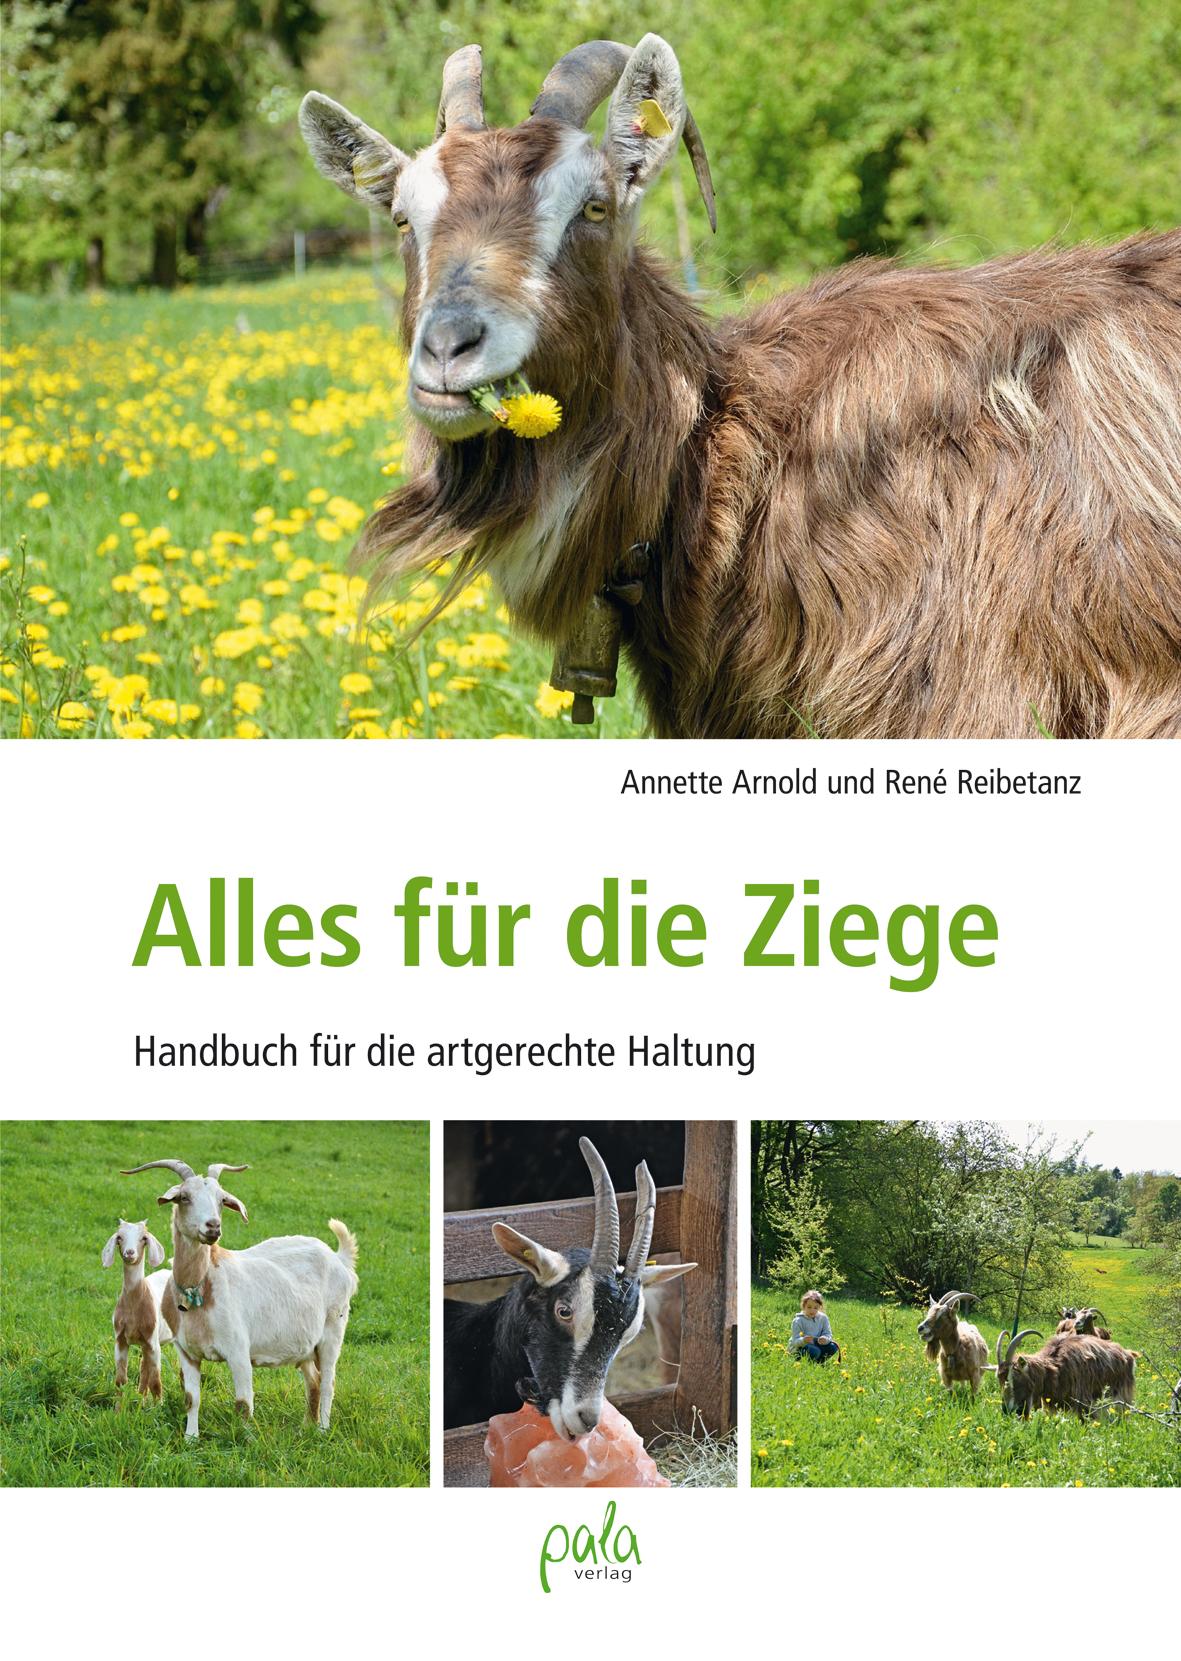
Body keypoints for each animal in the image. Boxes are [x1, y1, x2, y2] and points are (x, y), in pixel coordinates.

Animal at [102, 1218, 173, 1405]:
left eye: (144, 1238)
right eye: (119, 1237)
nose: (129, 1253)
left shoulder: (153, 1343)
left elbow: (156, 1382)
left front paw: (159, 1409)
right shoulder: (120, 1340)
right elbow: (120, 1380)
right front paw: (118, 1409)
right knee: (143, 1368)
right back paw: (141, 1400)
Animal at [121, 1159, 358, 1439]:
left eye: (222, 1200)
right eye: (184, 1197)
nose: (213, 1227)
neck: (200, 1288)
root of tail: (338, 1258)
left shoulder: (239, 1351)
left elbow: (244, 1404)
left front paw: (245, 1440)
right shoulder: (186, 1351)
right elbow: (191, 1398)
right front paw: (191, 1438)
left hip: (333, 1331)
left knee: (328, 1382)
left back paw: (322, 1430)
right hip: (305, 1345)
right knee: (314, 1381)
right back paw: (305, 1428)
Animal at [995, 1328, 1137, 1416]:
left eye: (1014, 1377)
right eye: (1000, 1381)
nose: (1006, 1410)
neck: (1056, 1368)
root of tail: (1128, 1355)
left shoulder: (1085, 1405)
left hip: (1120, 1398)